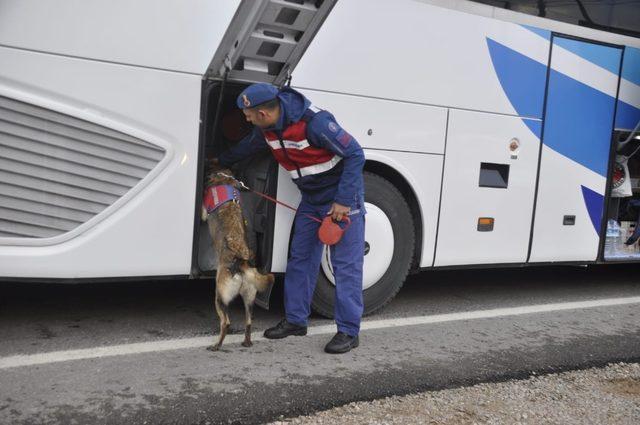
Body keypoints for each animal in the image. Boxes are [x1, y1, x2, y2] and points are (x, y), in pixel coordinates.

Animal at [201, 161, 274, 350]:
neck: (222, 176)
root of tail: (241, 263)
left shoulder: (203, 211)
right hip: (249, 296)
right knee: (248, 321)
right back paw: (247, 342)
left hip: (220, 295)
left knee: (226, 322)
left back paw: (217, 345)